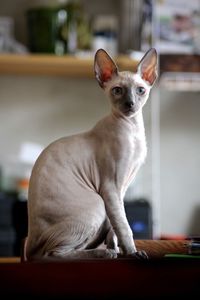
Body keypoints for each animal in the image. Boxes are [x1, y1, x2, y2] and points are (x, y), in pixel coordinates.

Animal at [25, 48, 158, 258]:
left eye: (140, 90)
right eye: (117, 90)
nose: (130, 104)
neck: (132, 128)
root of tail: (28, 245)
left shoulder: (122, 188)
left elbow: (114, 227)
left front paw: (118, 248)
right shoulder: (111, 187)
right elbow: (123, 225)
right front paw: (131, 252)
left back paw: (107, 250)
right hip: (97, 204)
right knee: (52, 254)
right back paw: (103, 254)